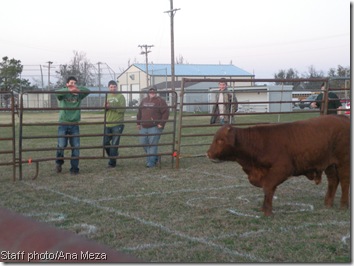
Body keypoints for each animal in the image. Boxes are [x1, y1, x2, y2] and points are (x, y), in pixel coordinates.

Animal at [206, 114, 350, 216]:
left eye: (220, 140)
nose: (208, 153)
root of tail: (341, 118)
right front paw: (264, 208)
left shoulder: (281, 169)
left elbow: (268, 188)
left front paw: (267, 211)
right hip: (329, 164)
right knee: (333, 180)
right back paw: (328, 203)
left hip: (343, 161)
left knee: (344, 181)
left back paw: (343, 206)